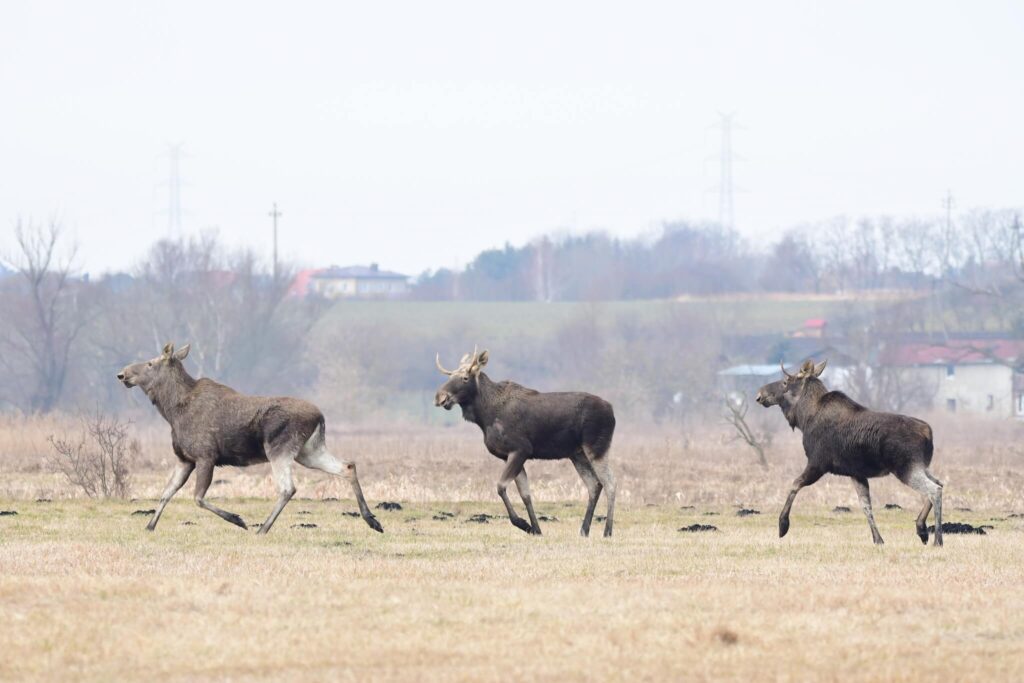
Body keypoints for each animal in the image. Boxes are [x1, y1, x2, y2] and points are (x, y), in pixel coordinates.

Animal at [113, 344, 385, 536]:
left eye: (150, 363)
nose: (122, 374)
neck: (171, 411)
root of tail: (320, 416)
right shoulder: (184, 459)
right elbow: (166, 493)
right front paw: (149, 525)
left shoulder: (205, 455)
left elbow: (197, 497)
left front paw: (238, 519)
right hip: (309, 452)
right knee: (347, 465)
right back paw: (372, 520)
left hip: (279, 448)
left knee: (288, 487)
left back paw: (262, 528)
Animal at [434, 350, 614, 536]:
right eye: (450, 376)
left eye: (465, 378)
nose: (440, 397)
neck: (485, 417)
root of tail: (612, 411)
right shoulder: (509, 455)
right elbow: (525, 494)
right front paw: (536, 528)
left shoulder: (521, 450)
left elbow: (501, 486)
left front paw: (523, 523)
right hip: (577, 454)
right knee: (594, 484)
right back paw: (584, 530)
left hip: (596, 448)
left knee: (610, 485)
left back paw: (607, 531)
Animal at [753, 360, 942, 548]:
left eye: (785, 382)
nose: (759, 394)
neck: (803, 419)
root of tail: (928, 432)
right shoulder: (856, 473)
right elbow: (866, 506)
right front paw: (878, 539)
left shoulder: (817, 463)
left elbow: (795, 484)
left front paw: (783, 525)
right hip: (920, 466)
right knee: (939, 483)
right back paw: (921, 529)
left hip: (906, 468)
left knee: (935, 489)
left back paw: (937, 539)